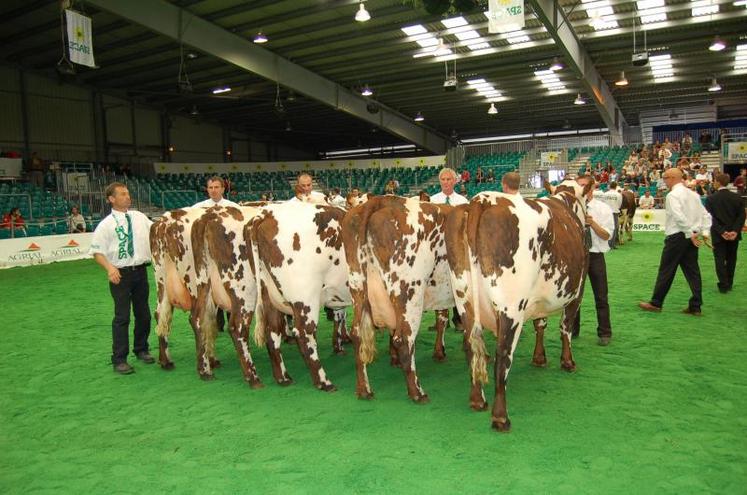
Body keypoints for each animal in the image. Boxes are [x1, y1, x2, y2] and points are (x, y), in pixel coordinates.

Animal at [149, 205, 262, 388]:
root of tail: (165, 220)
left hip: (166, 280)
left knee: (167, 316)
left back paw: (173, 362)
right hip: (240, 289)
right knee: (232, 325)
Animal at [248, 202, 348, 392]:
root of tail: (268, 213)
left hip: (269, 293)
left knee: (273, 332)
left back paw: (283, 378)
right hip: (305, 295)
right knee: (303, 333)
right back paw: (324, 382)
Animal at [340, 194, 456, 404]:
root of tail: (379, 200)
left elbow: (442, 318)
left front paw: (439, 351)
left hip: (357, 286)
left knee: (357, 335)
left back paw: (364, 390)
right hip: (409, 291)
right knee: (403, 338)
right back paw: (417, 393)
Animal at [444, 180, 596, 432]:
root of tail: (481, 201)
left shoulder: (539, 299)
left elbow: (540, 323)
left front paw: (539, 358)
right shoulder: (578, 291)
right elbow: (565, 328)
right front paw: (567, 362)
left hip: (464, 300)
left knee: (471, 347)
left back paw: (477, 400)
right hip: (511, 306)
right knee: (502, 354)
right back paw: (500, 417)